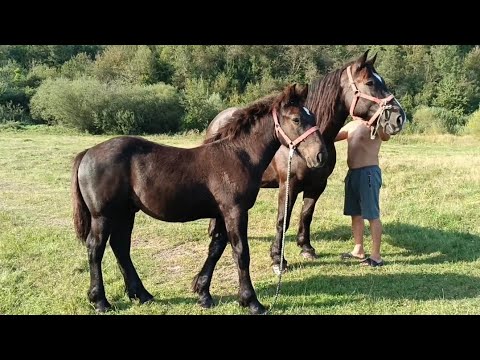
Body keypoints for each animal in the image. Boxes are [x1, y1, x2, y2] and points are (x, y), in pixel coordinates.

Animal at [71, 83, 326, 314]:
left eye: (312, 117)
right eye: (296, 119)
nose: (320, 156)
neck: (238, 155)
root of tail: (87, 153)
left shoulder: (222, 213)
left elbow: (216, 248)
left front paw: (203, 293)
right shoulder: (235, 211)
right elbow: (241, 252)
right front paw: (251, 302)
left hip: (126, 213)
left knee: (121, 247)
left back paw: (142, 294)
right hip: (103, 215)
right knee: (95, 249)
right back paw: (100, 301)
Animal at [204, 50, 406, 272]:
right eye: (370, 82)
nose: (399, 117)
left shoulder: (317, 185)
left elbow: (306, 214)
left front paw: (306, 248)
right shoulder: (288, 185)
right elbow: (283, 220)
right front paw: (278, 258)